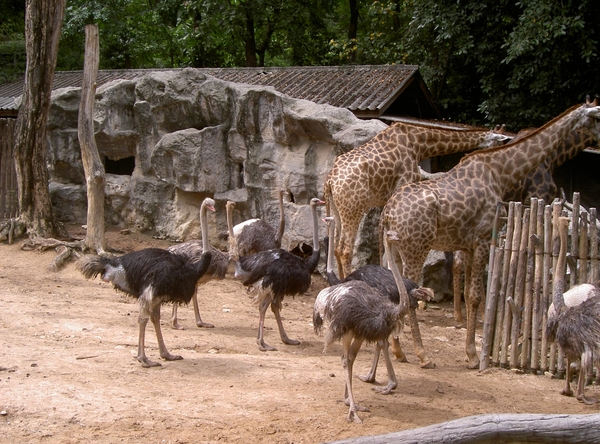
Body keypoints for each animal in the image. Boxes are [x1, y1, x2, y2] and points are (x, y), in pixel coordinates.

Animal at [380, 99, 600, 368]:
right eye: (598, 116)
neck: (500, 172)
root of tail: (387, 212)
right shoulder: (485, 238)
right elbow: (476, 295)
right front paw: (474, 356)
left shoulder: (467, 244)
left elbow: (468, 291)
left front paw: (470, 345)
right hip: (416, 248)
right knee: (410, 293)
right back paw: (422, 354)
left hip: (395, 250)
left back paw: (398, 349)